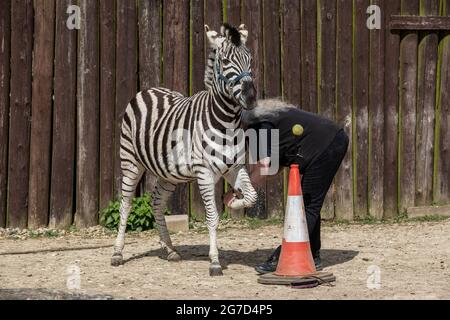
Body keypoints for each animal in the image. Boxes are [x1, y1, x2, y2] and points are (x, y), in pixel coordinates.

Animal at [112, 23, 258, 276]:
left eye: (249, 59)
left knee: (157, 202)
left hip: (168, 173)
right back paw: (118, 253)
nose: (250, 97)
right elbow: (212, 217)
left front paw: (234, 202)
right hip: (130, 161)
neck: (227, 121)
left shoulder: (235, 167)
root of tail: (148, 90)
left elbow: (251, 196)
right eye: (225, 61)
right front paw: (214, 262)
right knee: (126, 205)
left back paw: (170, 249)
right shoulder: (204, 172)